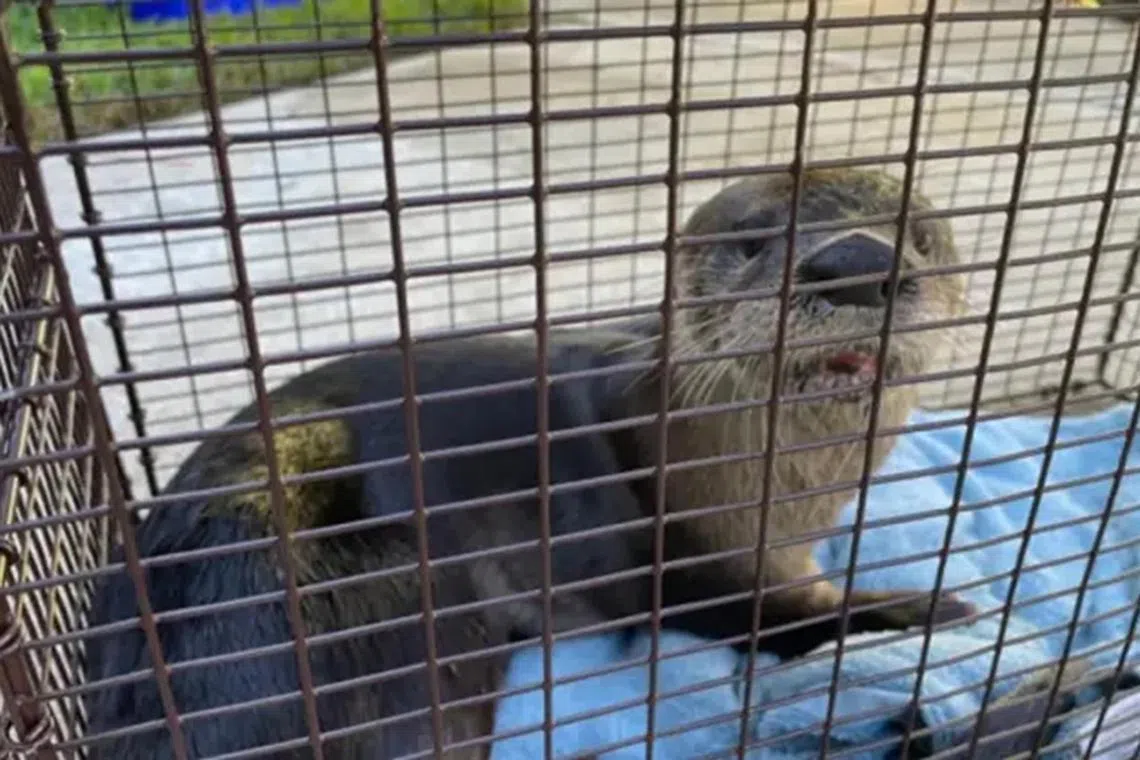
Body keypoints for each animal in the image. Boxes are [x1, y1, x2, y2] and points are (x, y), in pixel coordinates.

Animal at [83, 169, 975, 760]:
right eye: (751, 242)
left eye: (921, 235)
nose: (855, 263)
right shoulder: (690, 563)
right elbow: (777, 618)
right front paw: (924, 609)